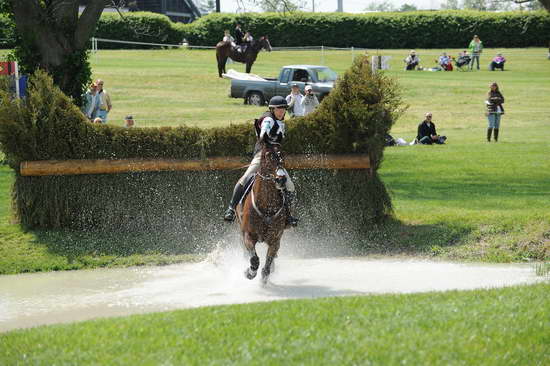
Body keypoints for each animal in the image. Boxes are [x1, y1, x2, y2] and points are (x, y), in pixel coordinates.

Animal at [237, 142, 288, 284]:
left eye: (282, 157)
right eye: (267, 158)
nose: (281, 179)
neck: (267, 206)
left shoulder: (275, 239)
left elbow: (268, 263)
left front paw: (264, 278)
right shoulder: (248, 235)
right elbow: (254, 259)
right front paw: (249, 273)